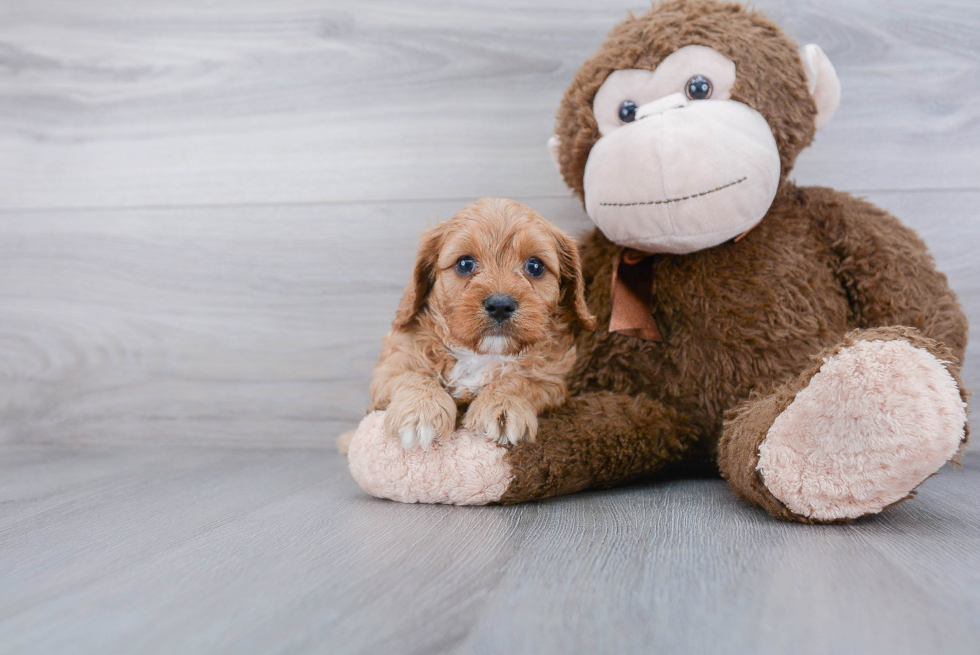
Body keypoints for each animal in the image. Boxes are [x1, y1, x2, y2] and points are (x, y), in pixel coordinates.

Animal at [364, 196, 588, 452]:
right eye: (465, 264)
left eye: (535, 266)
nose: (500, 305)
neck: (481, 355)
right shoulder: (390, 368)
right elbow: (412, 375)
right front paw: (421, 409)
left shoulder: (553, 381)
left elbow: (519, 381)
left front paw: (502, 406)